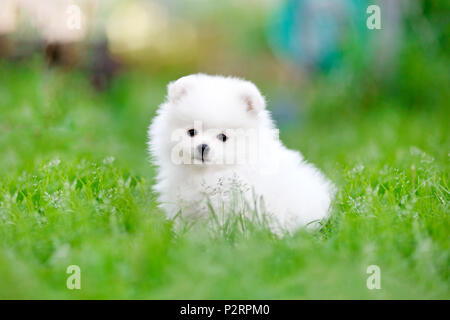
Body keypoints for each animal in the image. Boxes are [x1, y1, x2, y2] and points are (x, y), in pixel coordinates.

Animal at [148, 75, 334, 235]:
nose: (203, 147)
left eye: (223, 137)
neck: (207, 173)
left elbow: (219, 227)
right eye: (191, 132)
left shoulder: (228, 205)